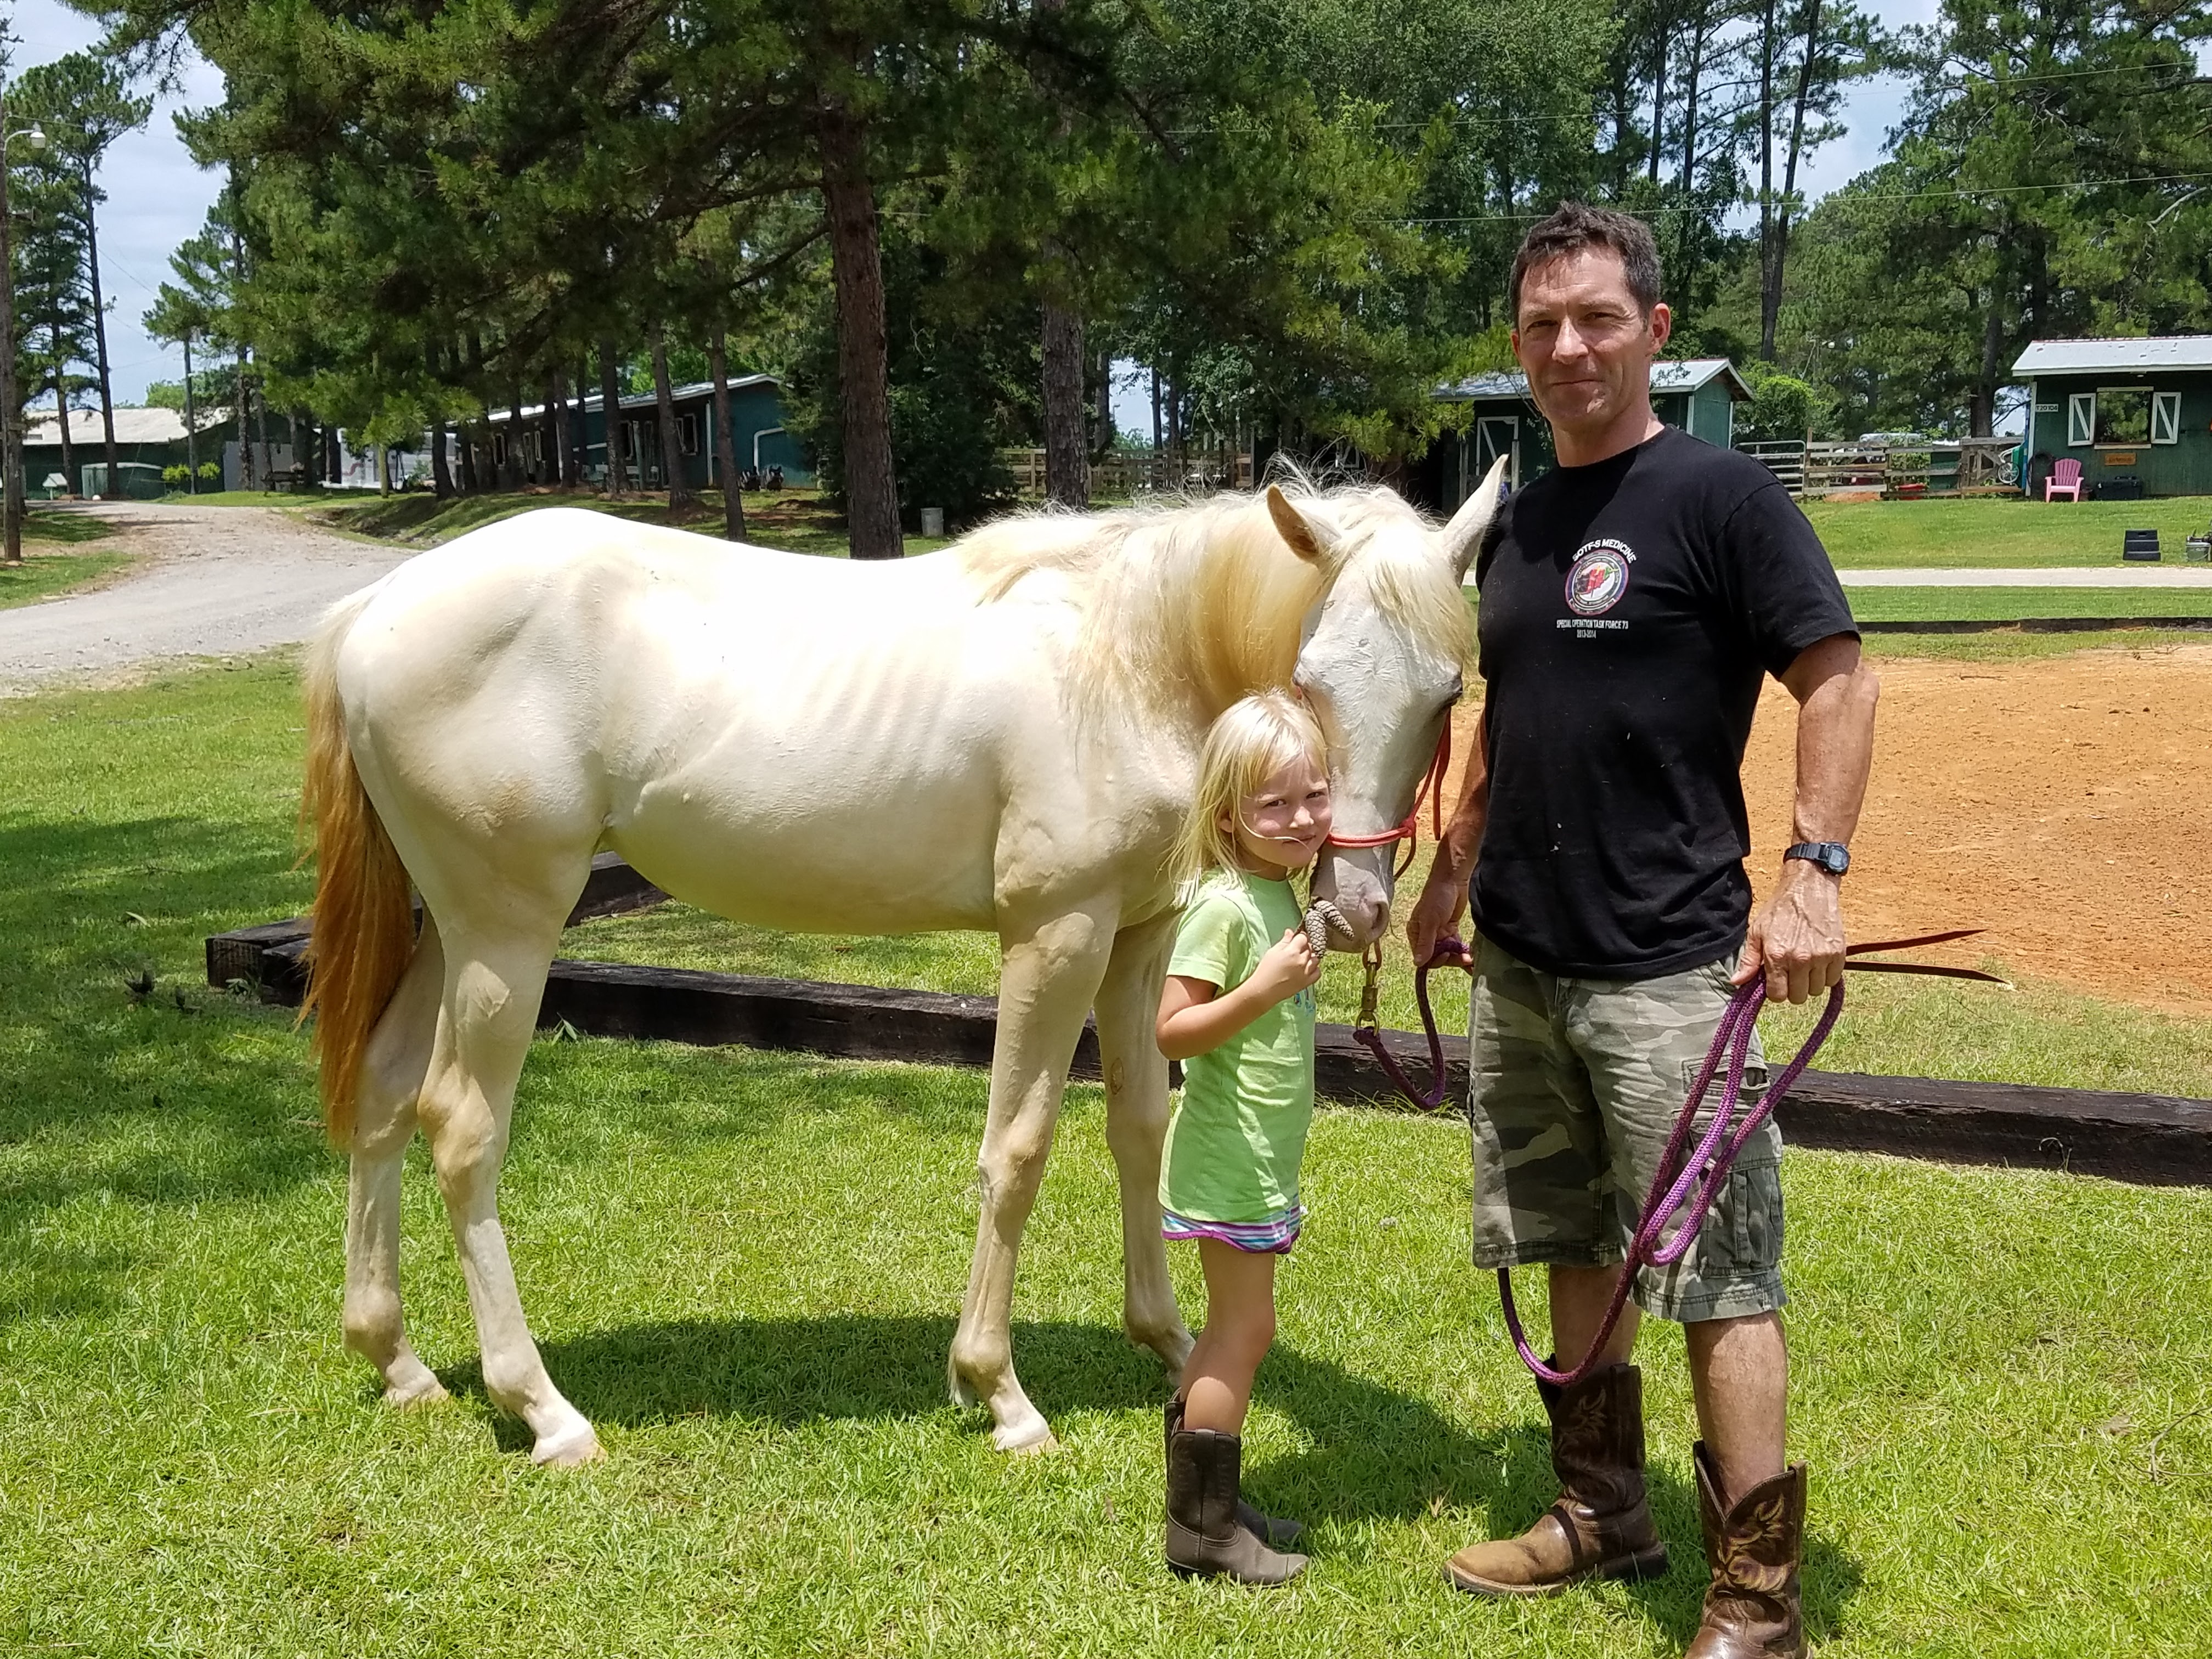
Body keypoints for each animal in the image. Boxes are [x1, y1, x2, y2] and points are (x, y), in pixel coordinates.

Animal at [298, 471, 1504, 1469]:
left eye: (1447, 693)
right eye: (1308, 678)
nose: (1355, 908)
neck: (1125, 658)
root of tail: (376, 610)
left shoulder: (1140, 937)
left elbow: (1139, 1127)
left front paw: (1167, 1341)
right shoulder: (1055, 935)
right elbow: (1018, 1148)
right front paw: (998, 1390)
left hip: (445, 931)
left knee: (386, 1094)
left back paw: (398, 1361)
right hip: (505, 935)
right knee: (460, 1125)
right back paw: (541, 1407)